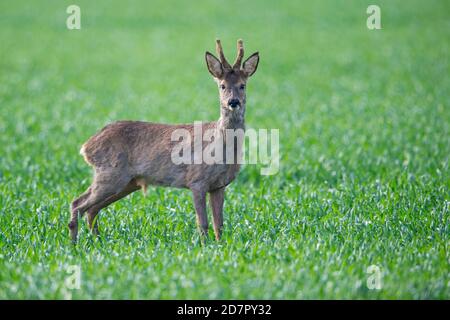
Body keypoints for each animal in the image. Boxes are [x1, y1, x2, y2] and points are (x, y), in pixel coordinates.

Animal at [69, 38, 260, 241]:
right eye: (222, 85)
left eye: (242, 85)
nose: (233, 102)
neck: (221, 147)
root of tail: (86, 146)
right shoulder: (196, 180)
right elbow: (203, 223)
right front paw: (204, 245)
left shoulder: (219, 185)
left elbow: (219, 225)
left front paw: (220, 245)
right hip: (110, 173)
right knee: (77, 204)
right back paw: (74, 244)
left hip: (127, 182)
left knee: (91, 209)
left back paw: (97, 241)